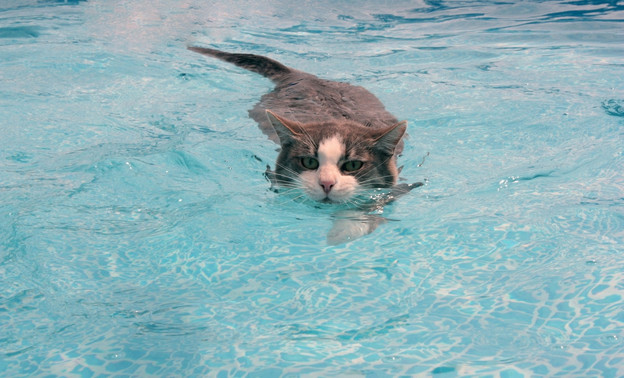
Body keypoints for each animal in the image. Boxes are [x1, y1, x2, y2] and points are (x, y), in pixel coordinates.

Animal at [188, 47, 422, 242]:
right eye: (309, 162)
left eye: (353, 165)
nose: (326, 183)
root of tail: (303, 76)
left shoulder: (396, 188)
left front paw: (342, 230)